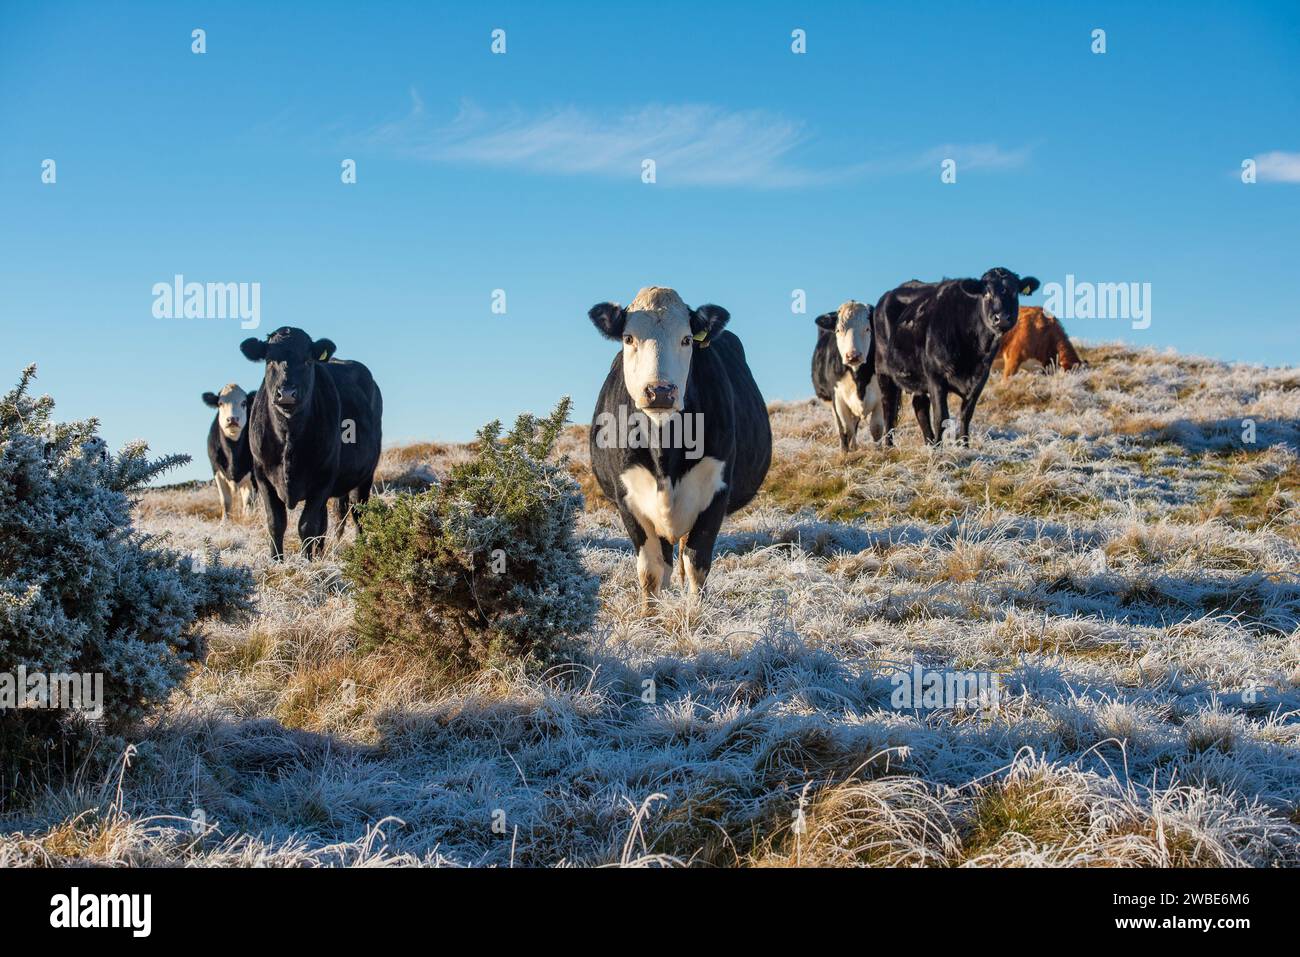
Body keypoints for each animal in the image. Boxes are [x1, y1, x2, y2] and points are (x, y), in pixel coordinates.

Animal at [201, 379, 257, 520]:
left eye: (243, 403)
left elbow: (249, 501)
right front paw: (224, 522)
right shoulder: (216, 470)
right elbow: (225, 501)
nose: (232, 419)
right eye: (220, 403)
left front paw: (248, 519)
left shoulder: (254, 475)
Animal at [239, 327, 382, 561]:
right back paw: (321, 554)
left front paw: (305, 561)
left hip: (364, 476)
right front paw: (277, 561)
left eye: (307, 361)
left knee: (358, 513)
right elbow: (276, 523)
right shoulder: (262, 476)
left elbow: (307, 526)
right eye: (269, 360)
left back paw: (361, 546)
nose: (287, 393)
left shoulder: (323, 478)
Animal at [590, 286, 769, 613]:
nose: (659, 391)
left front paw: (696, 614)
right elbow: (650, 569)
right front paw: (649, 617)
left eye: (686, 339)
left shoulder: (716, 493)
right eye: (628, 338)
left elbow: (697, 563)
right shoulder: (628, 498)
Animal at [806, 302, 889, 452]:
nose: (853, 355)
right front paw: (845, 454)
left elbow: (876, 428)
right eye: (838, 330)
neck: (859, 379)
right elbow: (845, 429)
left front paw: (878, 452)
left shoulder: (880, 395)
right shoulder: (838, 397)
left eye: (868, 329)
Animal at [868, 267, 1040, 447]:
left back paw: (929, 443)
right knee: (889, 407)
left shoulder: (980, 378)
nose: (1001, 318)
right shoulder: (936, 376)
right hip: (883, 370)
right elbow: (941, 417)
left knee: (920, 406)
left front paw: (964, 446)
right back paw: (889, 445)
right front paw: (940, 450)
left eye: (1014, 292)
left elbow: (966, 415)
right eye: (986, 293)